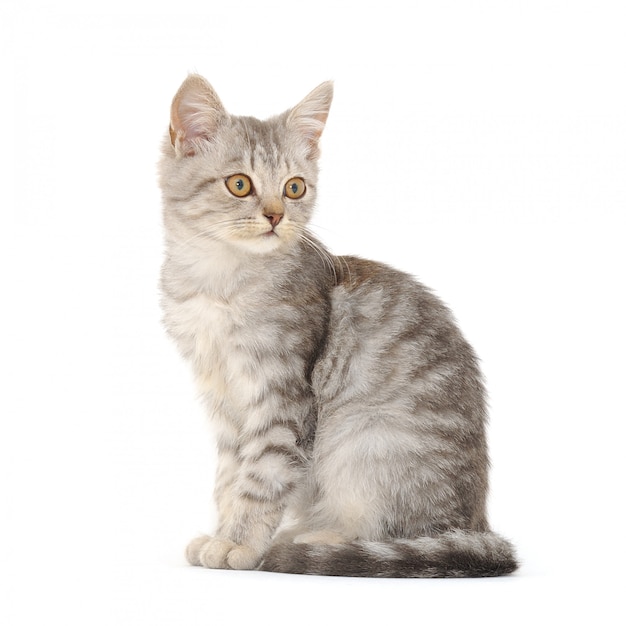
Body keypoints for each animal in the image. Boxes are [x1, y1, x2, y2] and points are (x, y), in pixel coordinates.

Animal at [158, 73, 516, 576]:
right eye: (239, 183)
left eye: (294, 188)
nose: (275, 216)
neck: (220, 280)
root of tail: (478, 525)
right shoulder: (222, 399)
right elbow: (228, 478)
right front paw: (222, 532)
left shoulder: (282, 395)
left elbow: (261, 475)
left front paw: (240, 543)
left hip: (364, 441)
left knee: (387, 531)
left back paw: (310, 540)